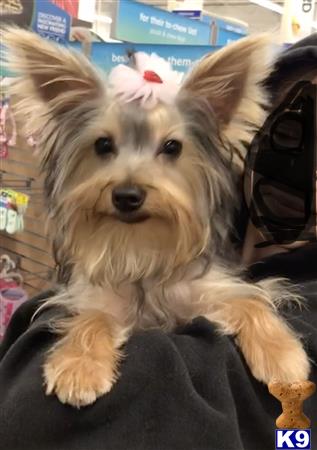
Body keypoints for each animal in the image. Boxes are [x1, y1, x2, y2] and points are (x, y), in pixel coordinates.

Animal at [2, 29, 308, 408]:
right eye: (103, 144)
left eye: (172, 146)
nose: (127, 195)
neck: (142, 245)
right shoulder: (98, 298)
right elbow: (93, 315)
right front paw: (80, 366)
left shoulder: (204, 291)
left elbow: (248, 300)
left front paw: (282, 355)